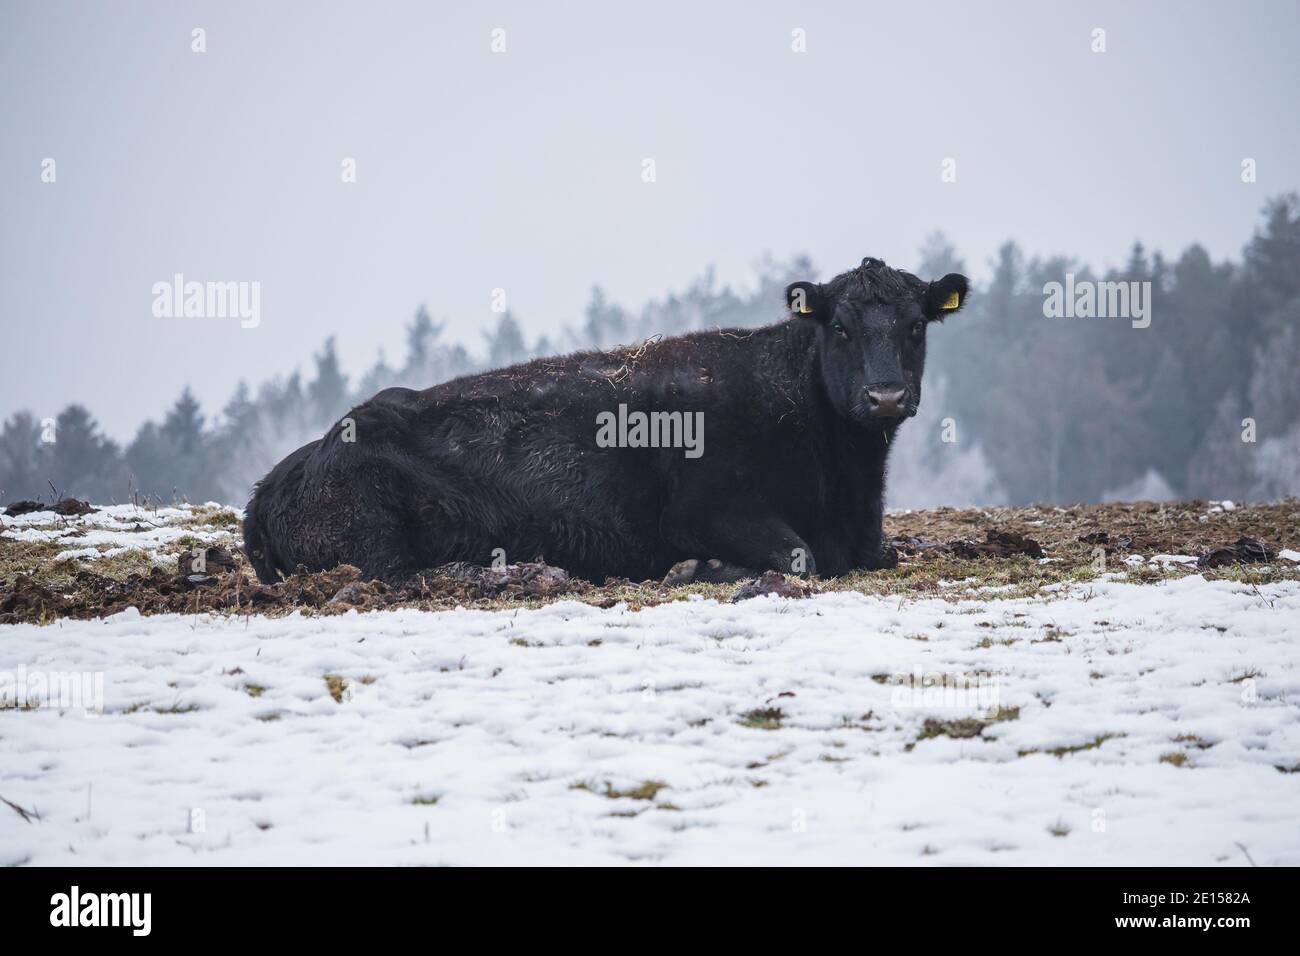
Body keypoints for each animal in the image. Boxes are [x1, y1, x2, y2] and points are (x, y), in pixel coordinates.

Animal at [244, 261, 967, 587]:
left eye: (916, 326)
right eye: (840, 327)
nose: (884, 396)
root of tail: (284, 470)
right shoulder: (704, 510)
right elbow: (798, 557)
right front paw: (695, 568)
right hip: (376, 542)